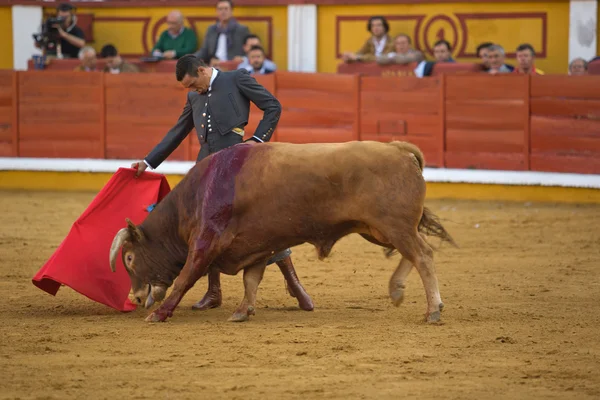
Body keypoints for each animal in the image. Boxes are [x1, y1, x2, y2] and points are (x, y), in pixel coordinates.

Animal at [109, 142, 454, 324]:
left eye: (129, 258)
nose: (133, 296)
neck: (198, 195)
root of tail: (399, 149)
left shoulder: (205, 242)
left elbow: (185, 278)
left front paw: (159, 314)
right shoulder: (256, 244)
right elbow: (251, 280)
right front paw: (242, 311)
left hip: (392, 225)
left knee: (422, 255)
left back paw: (432, 310)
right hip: (382, 230)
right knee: (415, 253)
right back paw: (397, 291)